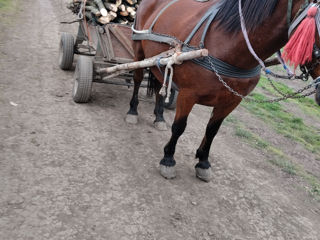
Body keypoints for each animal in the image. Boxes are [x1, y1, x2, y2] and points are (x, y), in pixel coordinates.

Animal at [126, 0, 320, 180]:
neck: (230, 44)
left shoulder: (231, 100)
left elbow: (212, 130)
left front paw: (203, 162)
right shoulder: (188, 94)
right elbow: (179, 127)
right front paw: (168, 159)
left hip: (159, 62)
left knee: (160, 84)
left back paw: (159, 117)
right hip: (139, 52)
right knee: (137, 80)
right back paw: (132, 111)